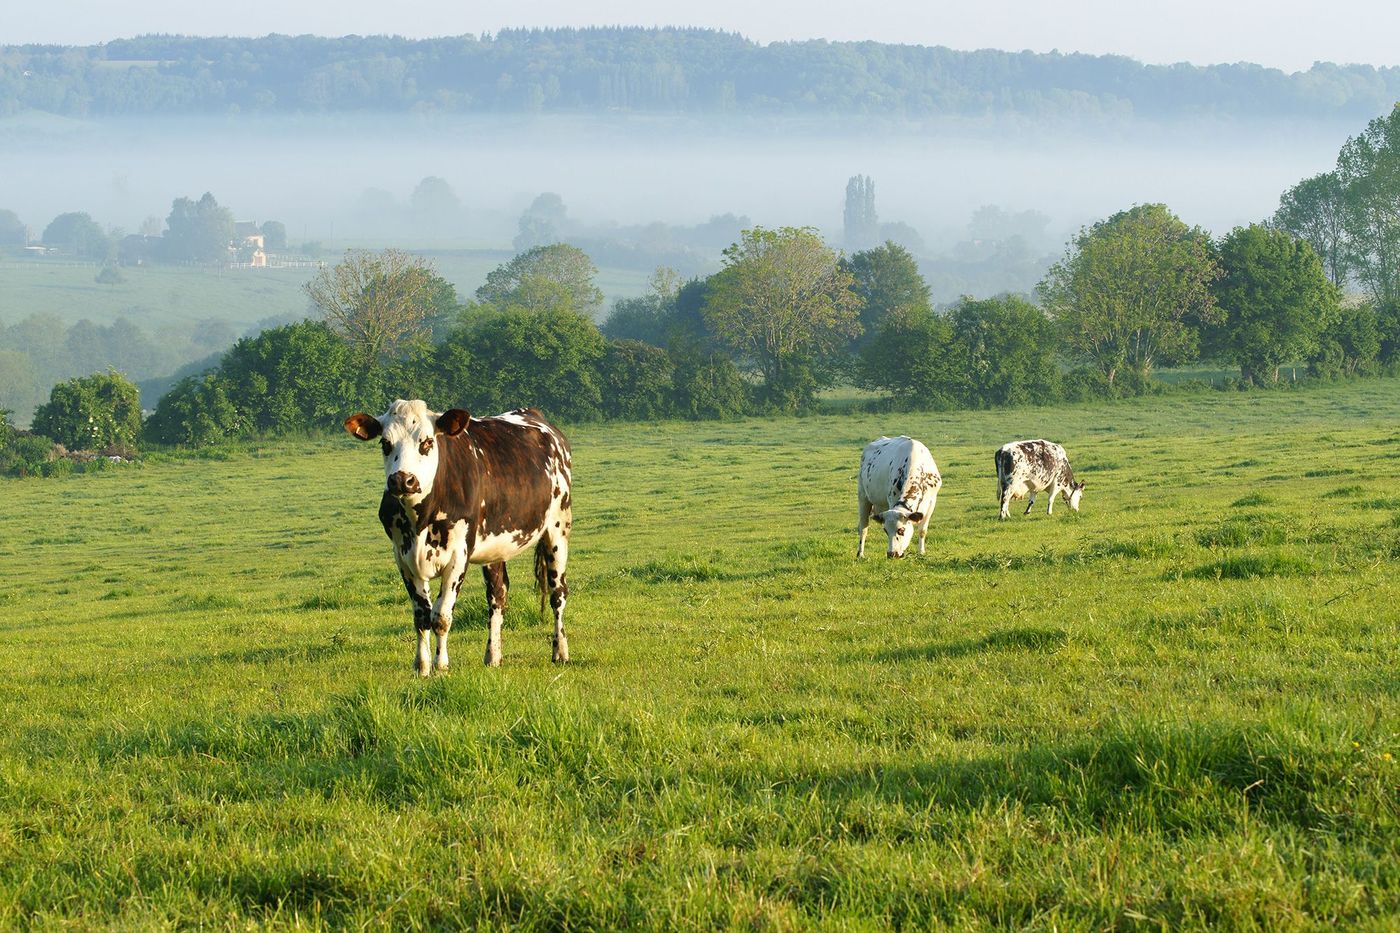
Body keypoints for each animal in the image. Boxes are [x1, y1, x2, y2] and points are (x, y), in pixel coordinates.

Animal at [344, 400, 573, 673]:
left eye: (427, 442)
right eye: (385, 443)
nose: (402, 480)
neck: (419, 519)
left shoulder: (458, 555)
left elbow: (441, 616)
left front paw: (441, 665)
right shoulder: (403, 558)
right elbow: (421, 616)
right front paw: (422, 666)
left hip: (558, 528)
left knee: (558, 593)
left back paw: (560, 652)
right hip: (495, 547)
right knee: (498, 595)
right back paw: (493, 656)